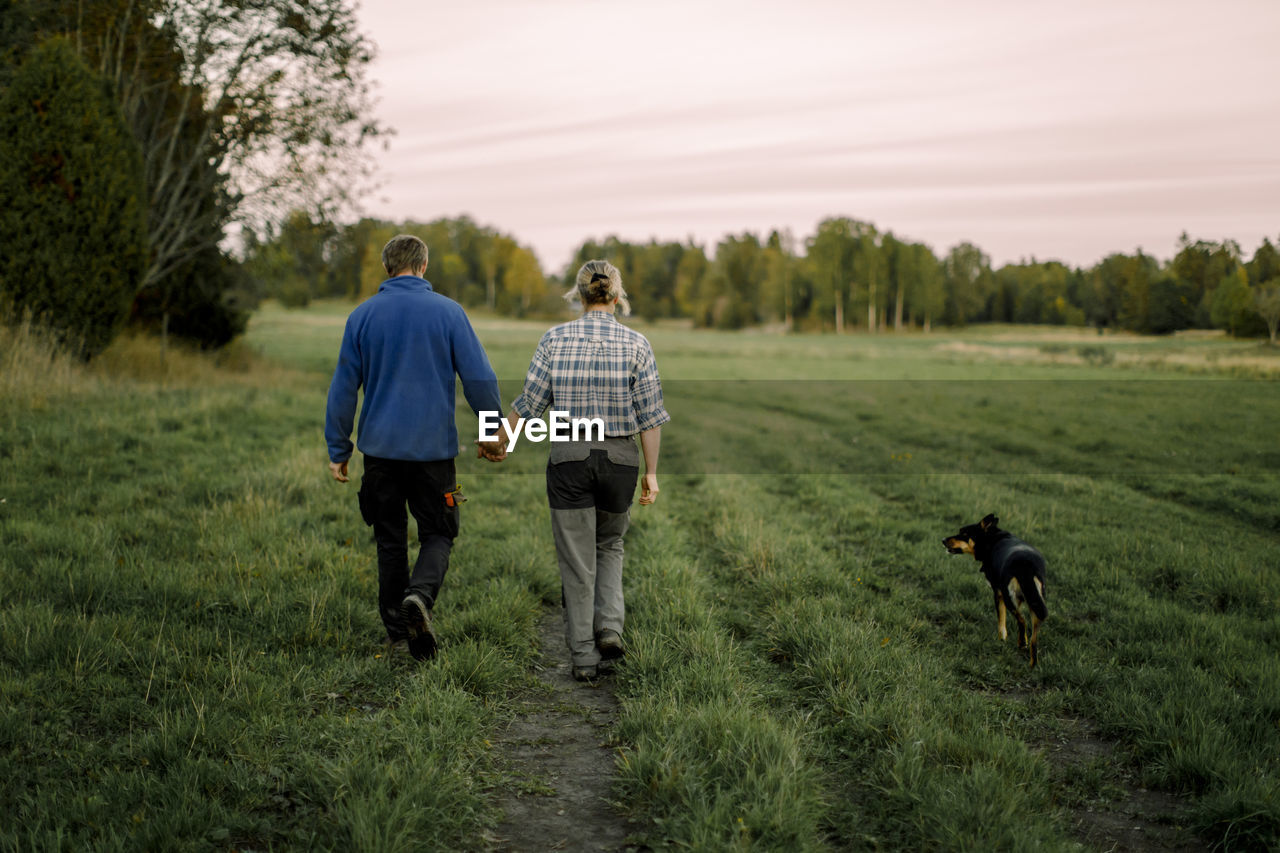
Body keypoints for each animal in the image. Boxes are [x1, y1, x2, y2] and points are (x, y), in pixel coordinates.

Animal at [942, 512, 1049, 666]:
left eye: (964, 534)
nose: (942, 540)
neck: (991, 539)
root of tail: (1026, 564)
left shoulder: (997, 593)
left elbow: (1001, 621)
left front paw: (1001, 639)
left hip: (1010, 597)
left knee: (1021, 620)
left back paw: (1022, 643)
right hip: (1036, 601)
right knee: (1033, 638)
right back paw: (1032, 664)